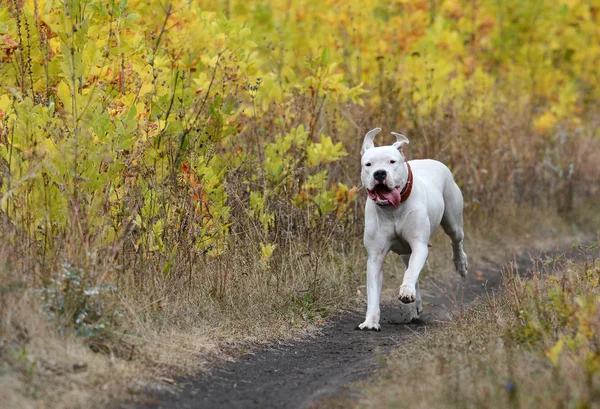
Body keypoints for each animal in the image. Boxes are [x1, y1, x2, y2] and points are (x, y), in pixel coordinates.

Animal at [356, 126, 468, 330]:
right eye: (368, 164)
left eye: (392, 161)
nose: (380, 173)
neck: (392, 210)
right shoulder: (375, 256)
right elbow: (373, 292)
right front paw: (370, 321)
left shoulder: (419, 245)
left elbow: (411, 273)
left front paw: (406, 291)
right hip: (405, 252)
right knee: (410, 266)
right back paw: (415, 306)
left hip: (453, 221)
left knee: (456, 241)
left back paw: (460, 264)